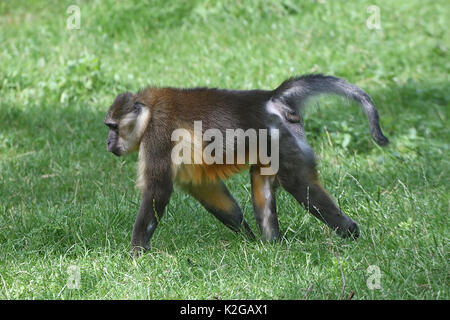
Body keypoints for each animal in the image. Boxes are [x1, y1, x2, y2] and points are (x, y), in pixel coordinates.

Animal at [103, 73, 388, 255]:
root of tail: (269, 99)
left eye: (113, 127)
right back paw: (272, 244)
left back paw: (350, 232)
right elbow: (204, 187)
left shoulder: (158, 134)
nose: (107, 142)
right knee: (262, 184)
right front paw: (246, 236)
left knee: (299, 184)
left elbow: (158, 190)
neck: (148, 112)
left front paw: (136, 253)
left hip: (281, 139)